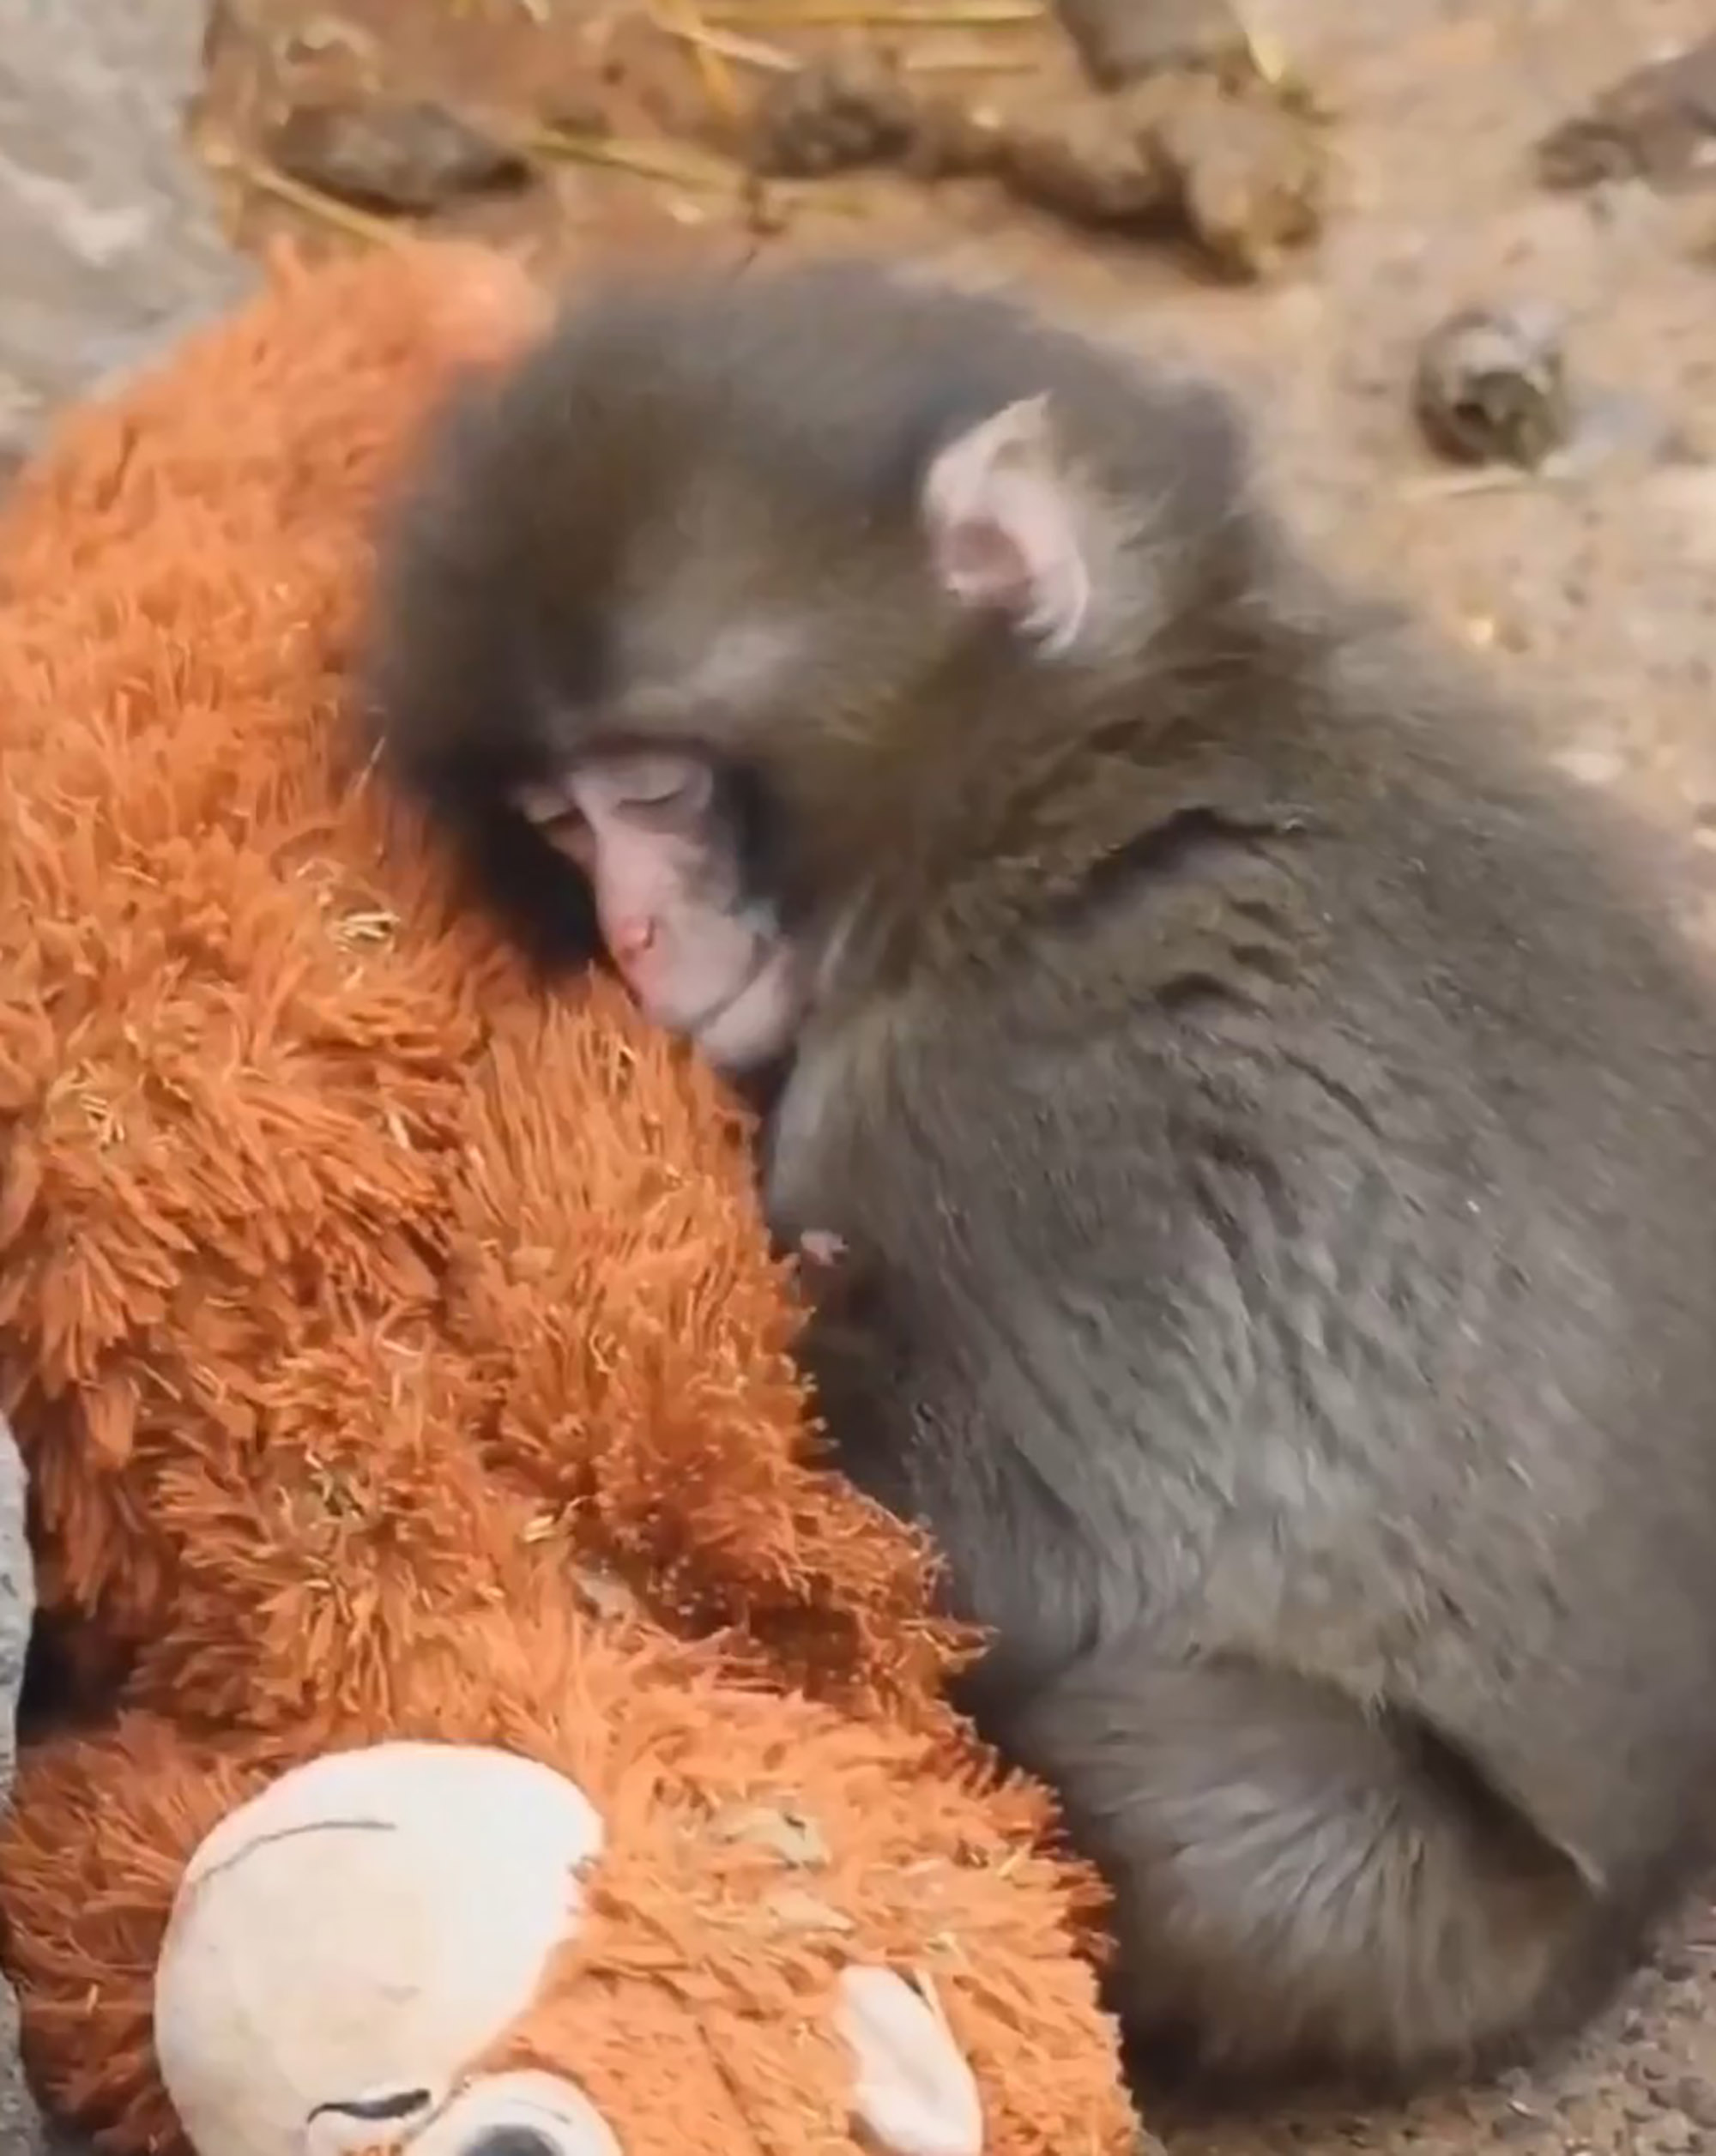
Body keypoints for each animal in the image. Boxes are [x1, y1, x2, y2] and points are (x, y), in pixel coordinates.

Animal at [362, 255, 1716, 2099]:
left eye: (657, 786)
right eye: (561, 821)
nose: (634, 934)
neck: (1064, 767)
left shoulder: (1029, 1104)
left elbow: (1012, 1551)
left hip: (1425, 1916)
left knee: (1167, 1774)